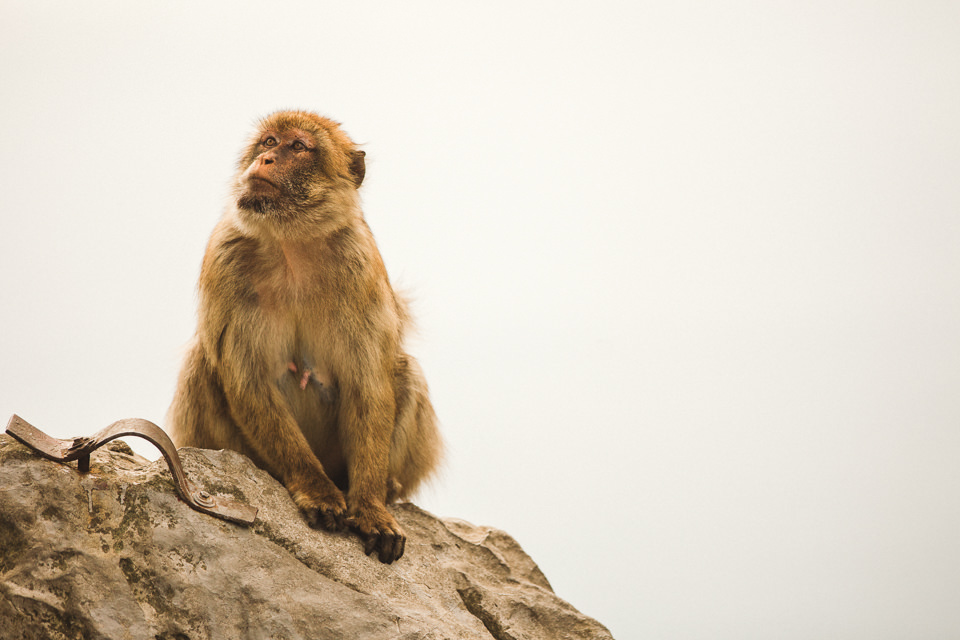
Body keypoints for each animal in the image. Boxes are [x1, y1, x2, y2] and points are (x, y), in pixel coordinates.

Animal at [168, 111, 442, 564]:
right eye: (268, 141)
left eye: (297, 147)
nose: (265, 159)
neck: (291, 244)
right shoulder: (225, 257)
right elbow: (249, 381)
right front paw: (315, 489)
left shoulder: (360, 264)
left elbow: (369, 385)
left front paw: (371, 508)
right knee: (202, 362)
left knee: (404, 370)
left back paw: (385, 489)